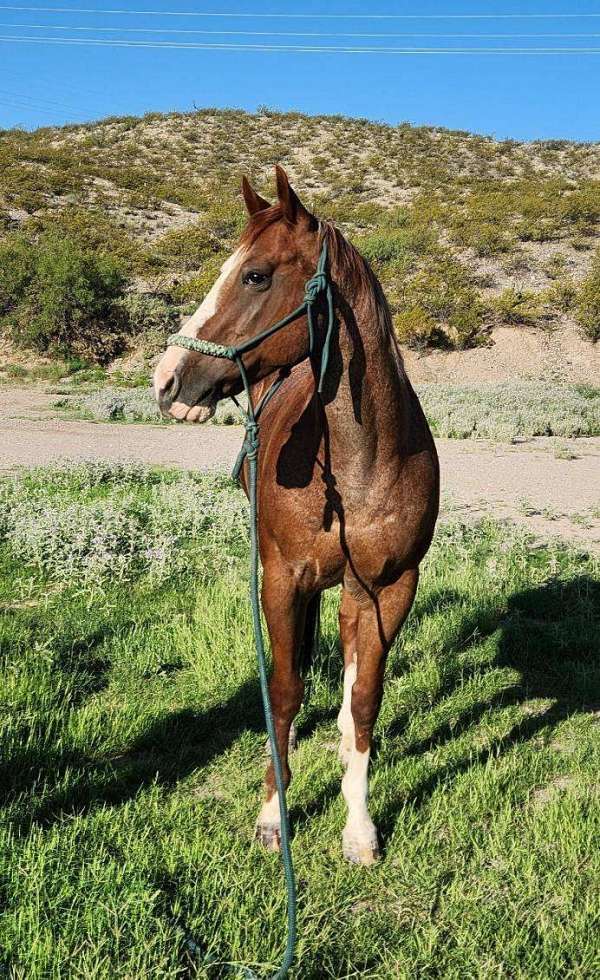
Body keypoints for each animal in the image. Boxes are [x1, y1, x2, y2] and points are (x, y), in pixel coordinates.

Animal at [152, 168, 438, 864]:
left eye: (255, 275)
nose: (166, 380)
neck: (364, 463)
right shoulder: (281, 579)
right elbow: (282, 691)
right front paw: (273, 816)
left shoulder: (387, 588)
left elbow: (363, 701)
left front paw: (358, 827)